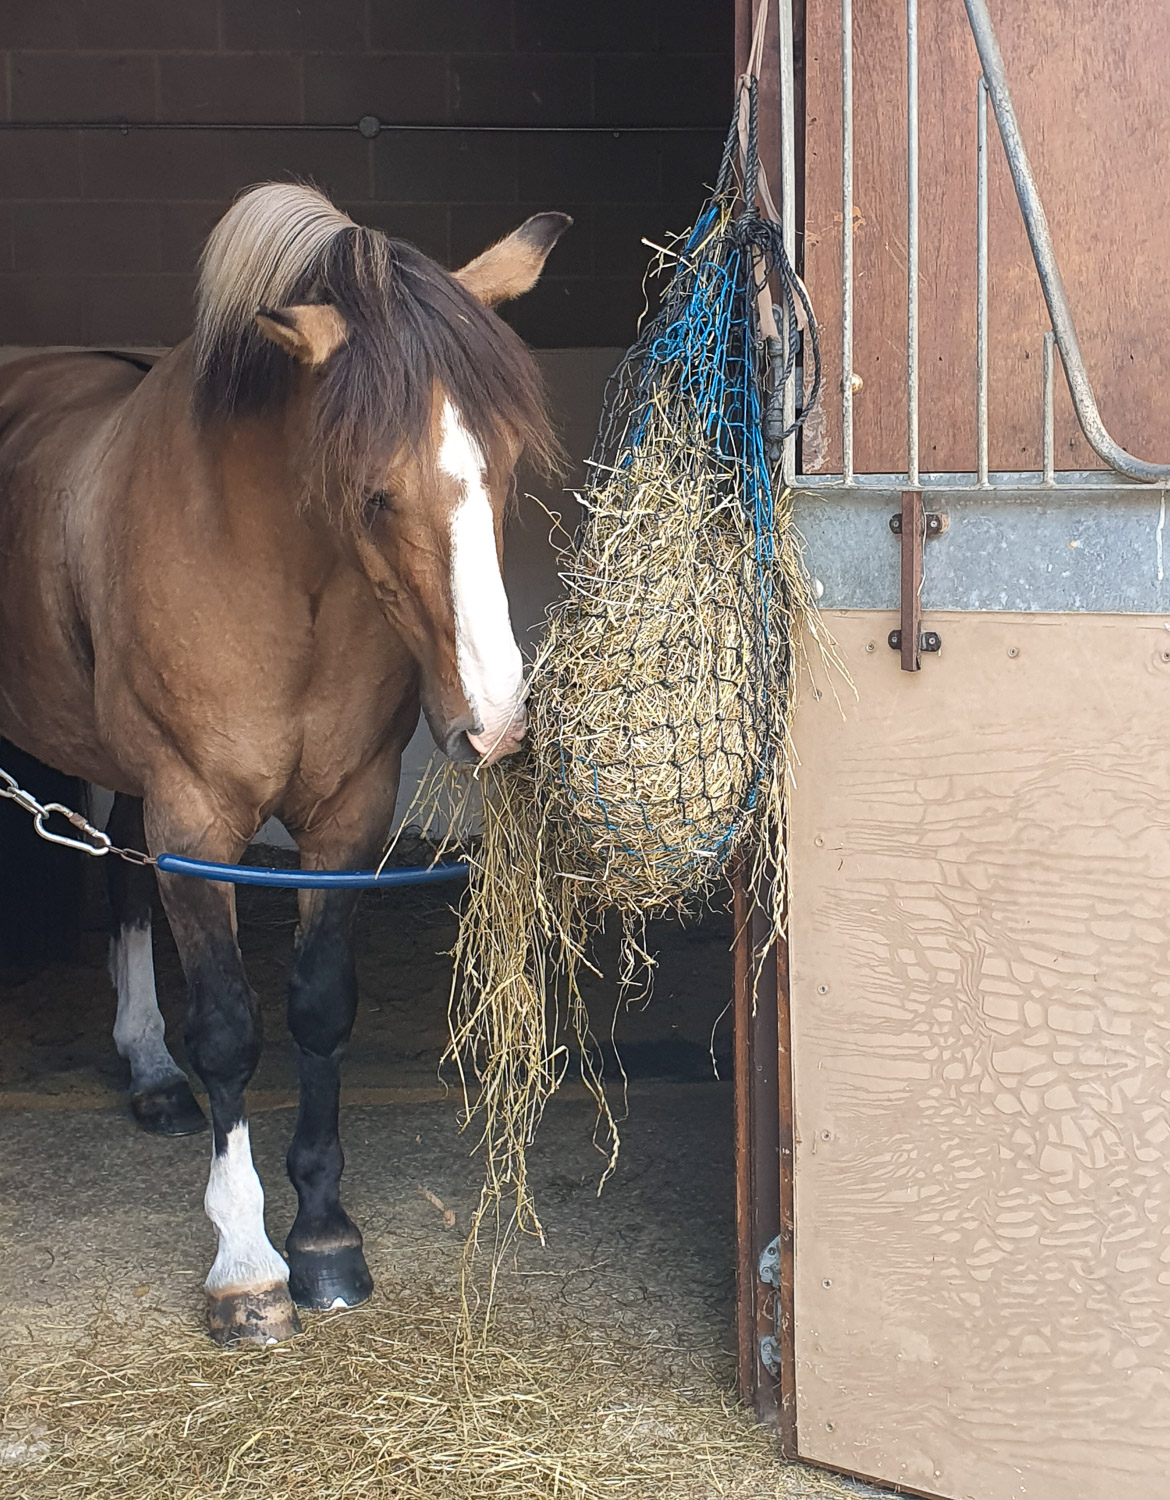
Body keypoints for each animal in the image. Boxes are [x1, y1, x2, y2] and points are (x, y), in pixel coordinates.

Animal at [0, 183, 569, 1344]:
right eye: (372, 494)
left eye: (506, 468)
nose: (495, 725)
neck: (276, 573)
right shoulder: (195, 818)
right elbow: (229, 1029)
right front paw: (248, 1264)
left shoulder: (347, 816)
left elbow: (318, 1008)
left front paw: (324, 1237)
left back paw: (148, 1072)